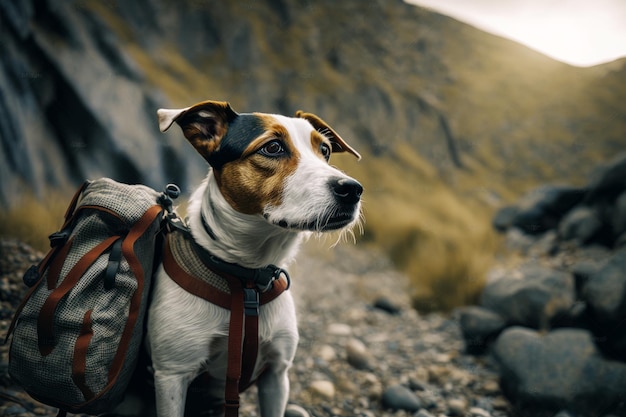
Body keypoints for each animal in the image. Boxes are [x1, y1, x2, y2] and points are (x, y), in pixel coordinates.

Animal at [146, 101, 360, 416]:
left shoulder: (276, 374)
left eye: (325, 150)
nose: (353, 189)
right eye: (272, 147)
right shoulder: (172, 376)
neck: (245, 278)